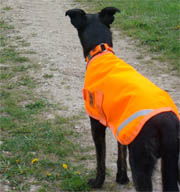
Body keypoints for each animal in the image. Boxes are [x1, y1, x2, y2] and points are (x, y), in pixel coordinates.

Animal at [65, 6, 180, 191]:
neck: (101, 51)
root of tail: (168, 123)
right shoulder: (123, 127)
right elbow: (121, 152)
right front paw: (122, 178)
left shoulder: (97, 123)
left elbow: (101, 159)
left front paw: (98, 182)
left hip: (141, 163)